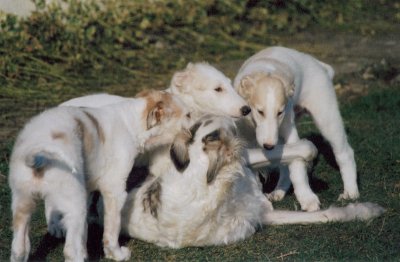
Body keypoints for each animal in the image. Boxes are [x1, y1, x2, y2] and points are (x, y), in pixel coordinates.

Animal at [8, 90, 190, 262]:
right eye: (188, 115)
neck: (132, 121)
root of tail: (38, 154)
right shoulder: (115, 191)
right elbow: (112, 227)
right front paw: (116, 254)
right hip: (73, 201)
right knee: (70, 250)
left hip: (22, 201)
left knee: (19, 248)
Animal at [94, 116, 384, 248]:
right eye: (210, 129)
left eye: (197, 124)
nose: (238, 114)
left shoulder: (258, 209)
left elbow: (324, 215)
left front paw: (363, 210)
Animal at [234, 46, 360, 211]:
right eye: (260, 111)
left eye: (279, 112)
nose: (269, 146)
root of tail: (320, 65)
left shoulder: (289, 129)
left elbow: (297, 168)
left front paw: (308, 199)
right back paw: (278, 192)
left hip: (326, 117)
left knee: (345, 153)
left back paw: (350, 192)